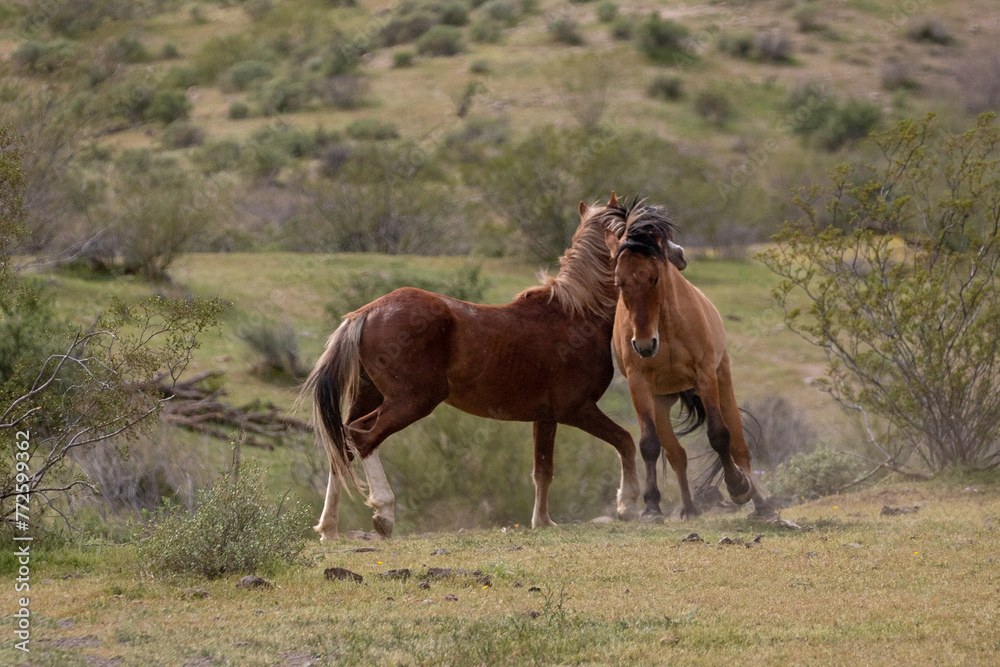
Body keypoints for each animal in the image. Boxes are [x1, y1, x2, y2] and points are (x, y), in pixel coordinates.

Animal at [300, 195, 690, 540]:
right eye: (643, 233)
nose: (681, 255)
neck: (576, 314)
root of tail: (366, 312)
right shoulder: (576, 409)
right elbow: (624, 441)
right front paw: (626, 505)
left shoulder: (545, 417)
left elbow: (543, 470)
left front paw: (542, 522)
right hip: (410, 401)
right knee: (362, 437)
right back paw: (383, 514)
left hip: (369, 395)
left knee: (342, 444)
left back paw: (328, 528)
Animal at [603, 200, 774, 519]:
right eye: (619, 283)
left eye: (654, 277)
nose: (644, 345)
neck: (666, 328)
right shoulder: (639, 384)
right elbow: (649, 444)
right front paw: (652, 507)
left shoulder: (705, 375)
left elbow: (719, 435)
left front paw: (738, 487)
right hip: (661, 401)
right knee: (676, 455)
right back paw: (689, 508)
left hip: (722, 382)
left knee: (739, 446)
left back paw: (762, 505)